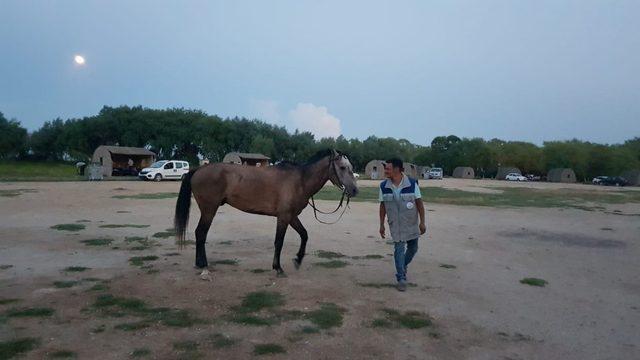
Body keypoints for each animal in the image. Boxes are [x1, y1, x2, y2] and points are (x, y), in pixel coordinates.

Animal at [172, 148, 358, 276]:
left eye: (350, 167)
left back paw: (200, 263)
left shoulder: (292, 216)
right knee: (200, 233)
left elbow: (304, 235)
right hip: (209, 209)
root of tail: (198, 170)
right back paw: (202, 264)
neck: (300, 181)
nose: (354, 190)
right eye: (342, 167)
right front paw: (278, 268)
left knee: (200, 234)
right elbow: (279, 242)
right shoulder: (283, 217)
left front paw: (298, 259)